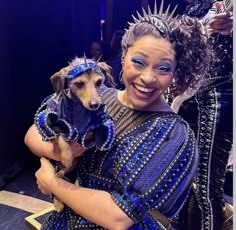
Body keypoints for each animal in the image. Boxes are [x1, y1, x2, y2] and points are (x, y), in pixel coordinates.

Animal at [34, 56, 115, 211]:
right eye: (79, 83)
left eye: (99, 82)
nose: (94, 105)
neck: (79, 109)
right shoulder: (57, 125)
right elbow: (62, 139)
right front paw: (66, 156)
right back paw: (58, 201)